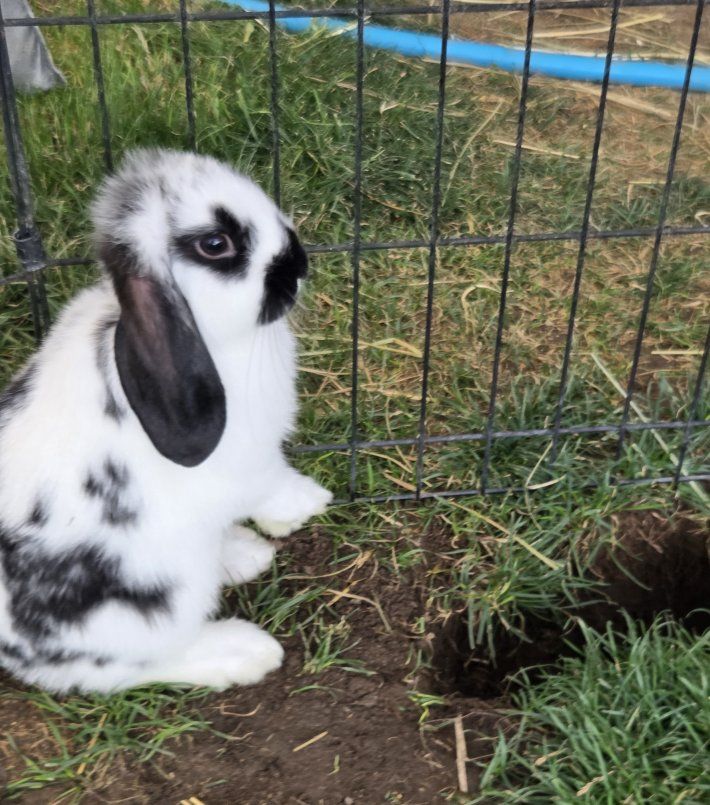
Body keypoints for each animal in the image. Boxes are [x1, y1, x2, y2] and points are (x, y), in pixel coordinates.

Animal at [0, 149, 332, 694]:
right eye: (216, 244)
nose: (299, 263)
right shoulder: (249, 463)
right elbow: (273, 484)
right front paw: (305, 506)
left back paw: (242, 554)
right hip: (161, 598)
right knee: (126, 668)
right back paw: (243, 651)